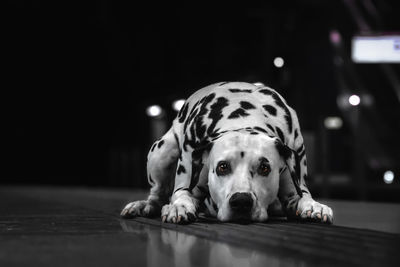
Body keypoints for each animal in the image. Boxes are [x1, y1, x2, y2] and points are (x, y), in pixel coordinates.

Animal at [122, 81, 334, 224]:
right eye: (222, 167)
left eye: (264, 168)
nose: (241, 202)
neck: (243, 116)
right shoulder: (186, 181)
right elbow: (181, 195)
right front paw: (178, 207)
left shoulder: (294, 182)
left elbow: (302, 197)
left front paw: (312, 205)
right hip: (162, 151)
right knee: (157, 194)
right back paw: (143, 205)